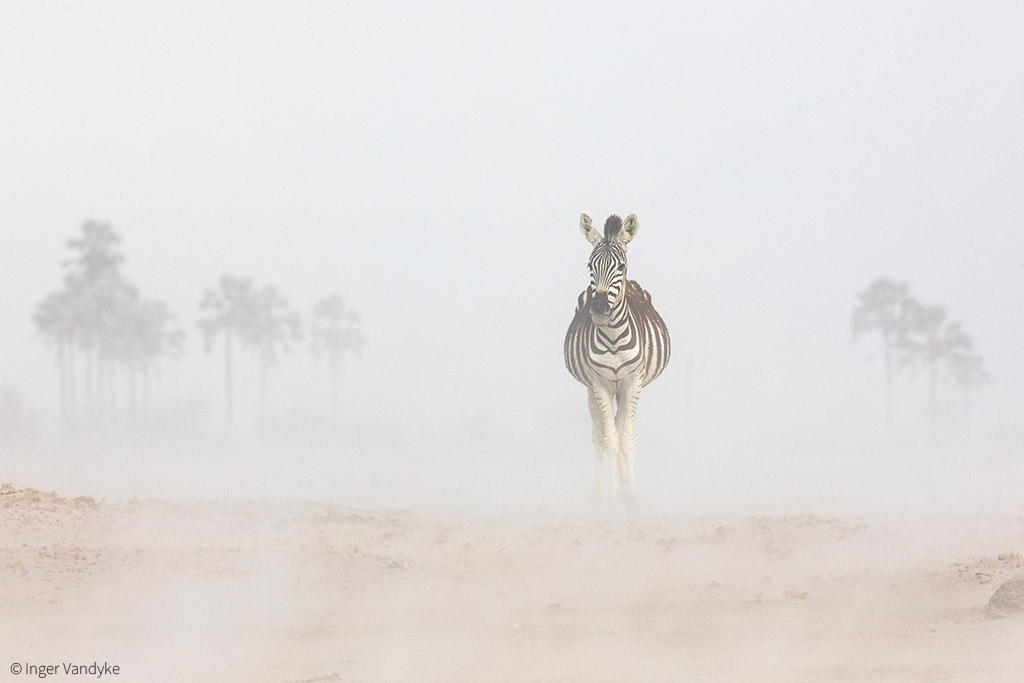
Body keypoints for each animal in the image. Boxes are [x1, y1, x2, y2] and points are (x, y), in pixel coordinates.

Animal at [565, 214, 667, 507]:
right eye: (590, 265)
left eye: (620, 266)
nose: (599, 310)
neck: (612, 339)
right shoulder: (599, 385)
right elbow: (611, 441)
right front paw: (613, 499)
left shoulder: (633, 382)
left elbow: (627, 440)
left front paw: (630, 496)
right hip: (594, 389)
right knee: (600, 437)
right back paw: (598, 496)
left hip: (624, 388)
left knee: (622, 429)